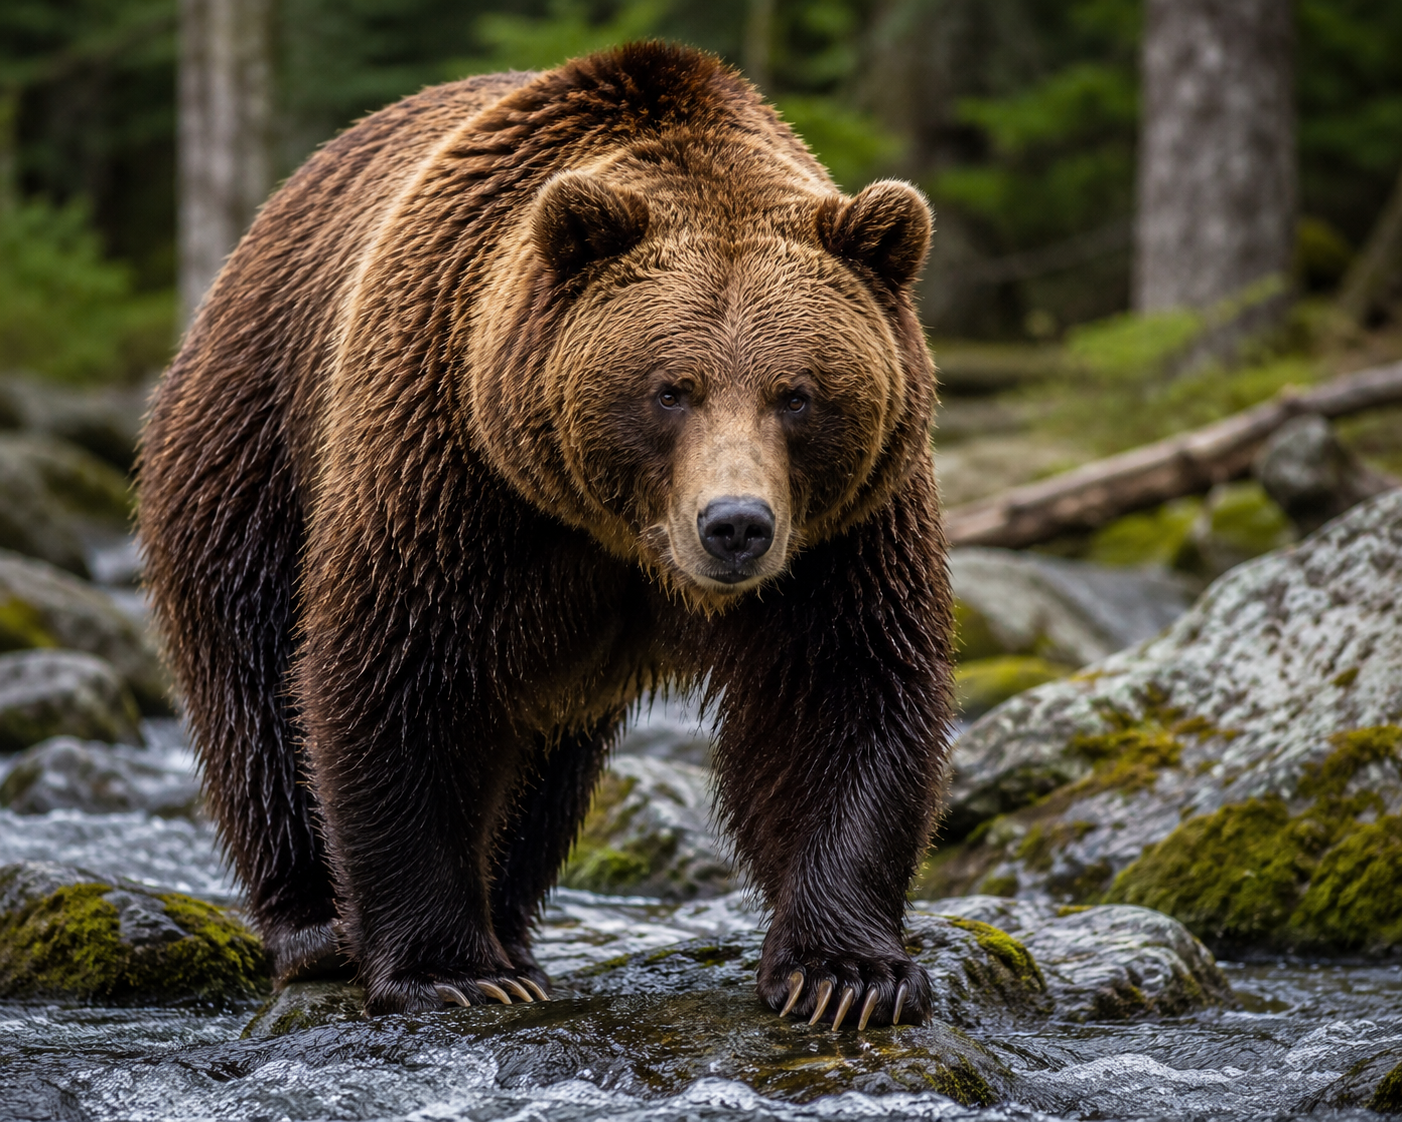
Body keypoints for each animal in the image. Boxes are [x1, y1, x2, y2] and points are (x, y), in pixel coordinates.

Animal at [138, 42, 953, 1026]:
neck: (621, 538)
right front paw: (450, 968)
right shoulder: (456, 470)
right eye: (671, 389)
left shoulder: (845, 529)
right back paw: (320, 927)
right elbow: (403, 675)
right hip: (253, 445)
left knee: (547, 765)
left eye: (796, 394)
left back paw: (512, 924)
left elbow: (844, 686)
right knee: (255, 679)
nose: (735, 526)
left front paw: (846, 974)